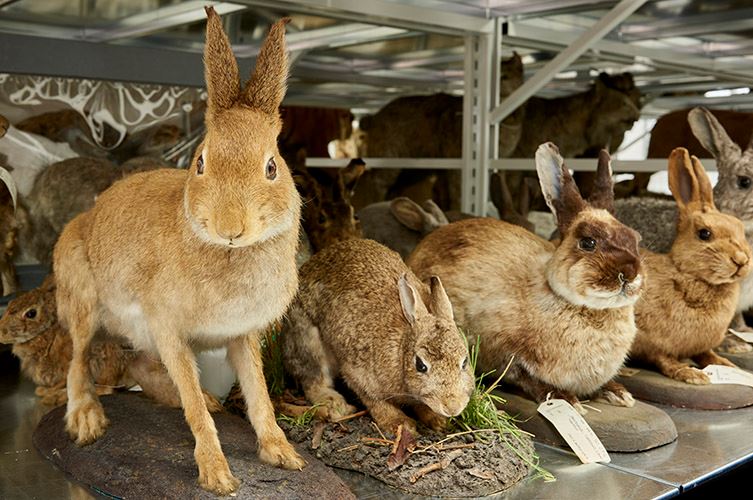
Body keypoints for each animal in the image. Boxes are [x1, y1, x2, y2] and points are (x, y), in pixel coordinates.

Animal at [51, 8, 304, 496]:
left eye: (271, 167)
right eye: (201, 161)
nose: (230, 227)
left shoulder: (241, 335)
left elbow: (259, 394)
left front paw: (282, 454)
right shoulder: (168, 327)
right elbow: (193, 404)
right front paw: (217, 473)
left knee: (141, 367)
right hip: (84, 302)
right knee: (77, 361)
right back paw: (87, 421)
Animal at [282, 238, 470, 434]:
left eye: (464, 362)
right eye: (421, 366)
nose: (452, 407)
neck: (401, 350)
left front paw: (437, 421)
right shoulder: (357, 374)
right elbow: (375, 401)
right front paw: (400, 424)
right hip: (308, 340)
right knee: (313, 379)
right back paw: (335, 405)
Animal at [628, 147, 752, 382]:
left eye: (740, 228)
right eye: (704, 233)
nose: (741, 260)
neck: (685, 273)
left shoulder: (700, 347)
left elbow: (707, 354)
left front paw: (728, 365)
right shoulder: (651, 343)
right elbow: (663, 358)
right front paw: (690, 374)